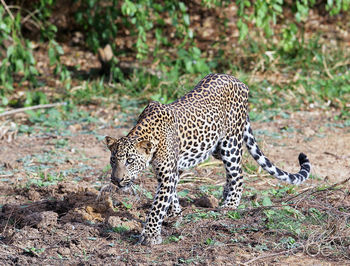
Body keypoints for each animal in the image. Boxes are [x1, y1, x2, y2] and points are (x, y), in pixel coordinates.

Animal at [104, 72, 312, 245]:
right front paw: (176, 214)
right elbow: (171, 195)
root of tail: (238, 81)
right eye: (113, 160)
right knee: (231, 172)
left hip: (230, 143)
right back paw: (224, 195)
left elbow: (157, 206)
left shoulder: (167, 175)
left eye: (130, 161)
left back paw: (229, 205)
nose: (116, 180)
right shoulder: (169, 172)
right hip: (215, 148)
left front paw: (150, 235)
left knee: (239, 173)